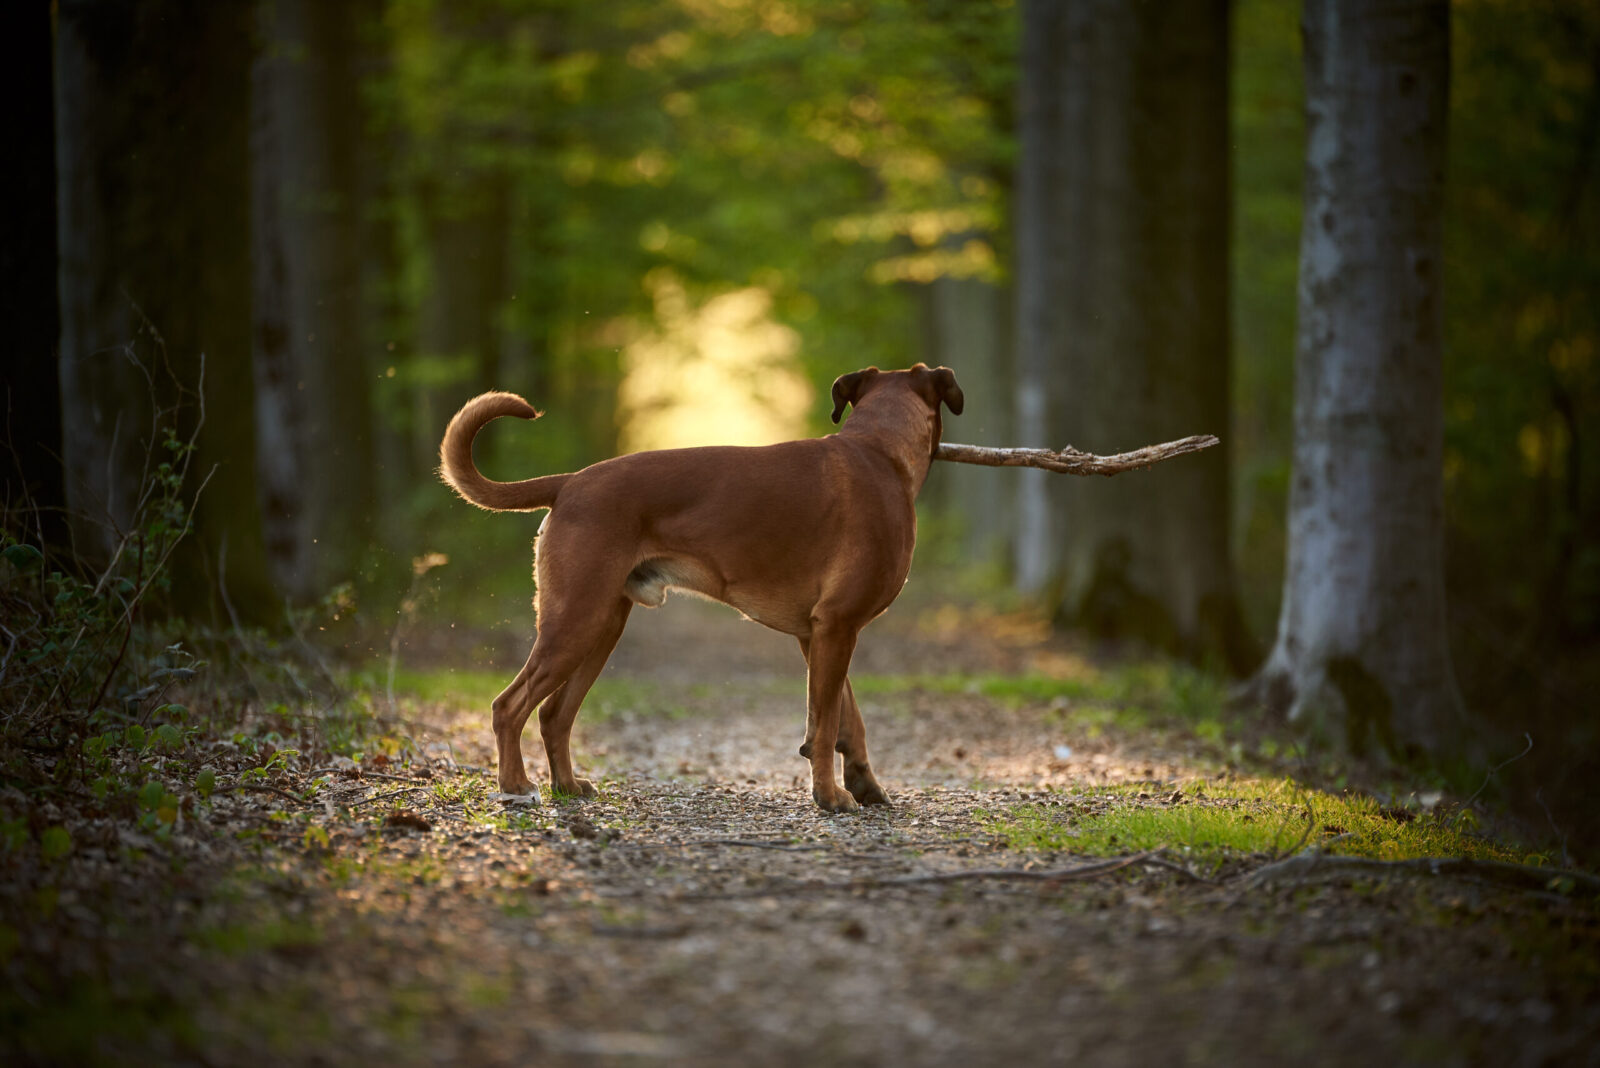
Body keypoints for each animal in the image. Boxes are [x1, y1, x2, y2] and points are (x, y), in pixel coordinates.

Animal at [438, 362, 960, 812]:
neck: (881, 450)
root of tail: (570, 483)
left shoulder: (819, 634)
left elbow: (848, 719)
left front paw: (863, 784)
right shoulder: (836, 626)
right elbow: (829, 723)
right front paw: (831, 797)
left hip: (601, 628)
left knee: (554, 715)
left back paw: (567, 785)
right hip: (574, 624)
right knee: (509, 706)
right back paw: (516, 787)